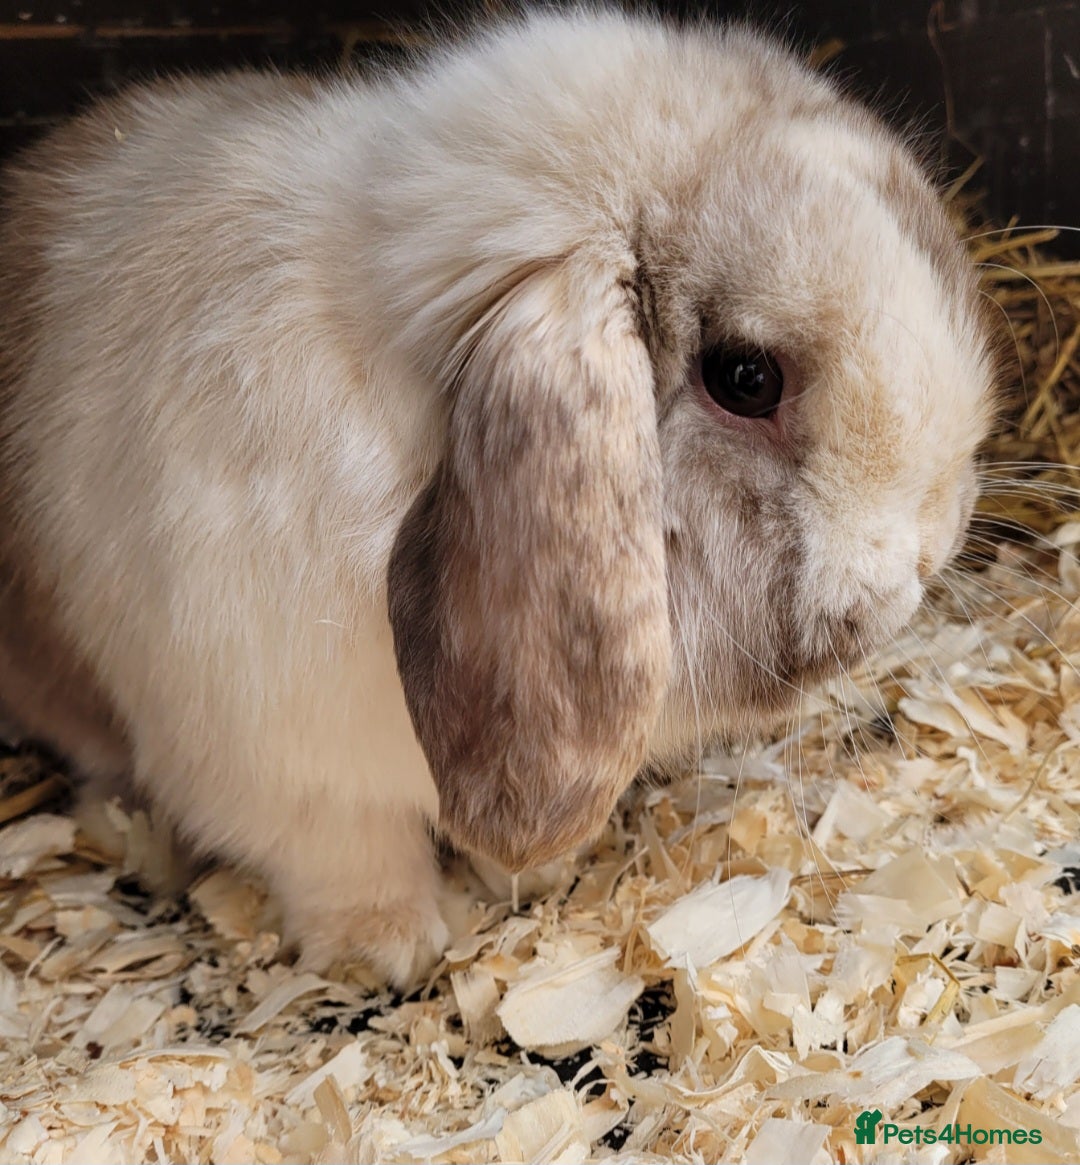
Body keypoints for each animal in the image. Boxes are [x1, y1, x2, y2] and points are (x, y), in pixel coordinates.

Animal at [0, 8, 996, 986]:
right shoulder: (277, 767)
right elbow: (346, 856)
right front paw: (382, 950)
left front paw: (533, 874)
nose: (928, 552)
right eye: (745, 377)